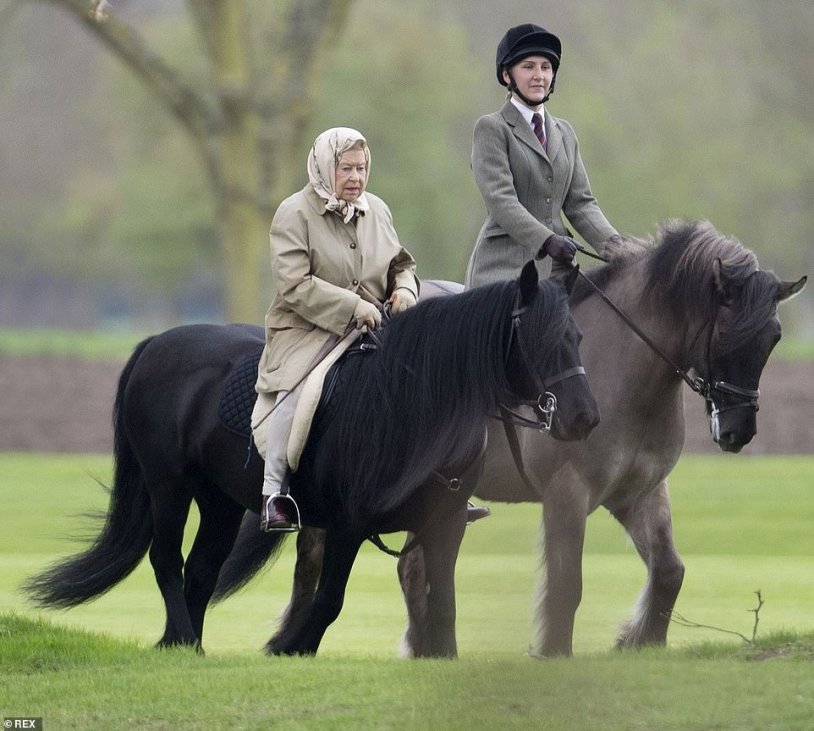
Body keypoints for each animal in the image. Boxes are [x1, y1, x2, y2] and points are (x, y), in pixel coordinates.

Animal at [24, 261, 600, 656]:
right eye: (539, 338)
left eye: (577, 335)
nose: (584, 418)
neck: (413, 409)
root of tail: (156, 343)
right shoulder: (348, 525)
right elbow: (330, 599)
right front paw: (289, 647)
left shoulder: (446, 525)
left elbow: (444, 604)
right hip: (168, 486)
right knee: (167, 559)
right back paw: (185, 640)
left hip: (220, 501)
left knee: (200, 570)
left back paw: (183, 647)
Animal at [213, 219, 806, 657]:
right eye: (728, 334)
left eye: (774, 337)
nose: (737, 431)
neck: (621, 368)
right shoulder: (568, 495)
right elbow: (568, 583)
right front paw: (554, 652)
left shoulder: (639, 493)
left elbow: (669, 570)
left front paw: (641, 642)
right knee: (316, 555)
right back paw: (296, 640)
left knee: (410, 566)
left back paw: (423, 646)